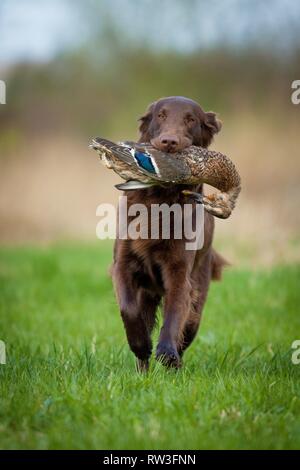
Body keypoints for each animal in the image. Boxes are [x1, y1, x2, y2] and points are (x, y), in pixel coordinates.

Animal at [111, 95, 226, 370]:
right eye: (160, 115)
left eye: (191, 119)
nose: (169, 142)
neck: (160, 198)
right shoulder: (122, 264)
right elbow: (128, 310)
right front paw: (142, 345)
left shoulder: (180, 273)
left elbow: (174, 316)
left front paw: (166, 353)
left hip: (198, 296)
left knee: (187, 331)